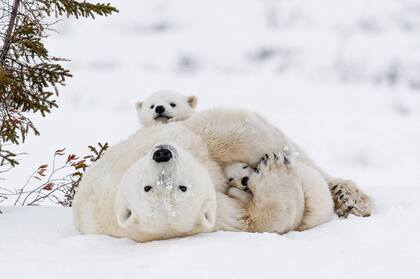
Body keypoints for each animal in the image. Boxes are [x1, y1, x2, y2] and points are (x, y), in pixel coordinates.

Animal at [72, 107, 370, 243]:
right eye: (149, 188)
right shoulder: (215, 217)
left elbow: (224, 132)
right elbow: (257, 219)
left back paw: (350, 197)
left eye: (180, 186)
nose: (163, 154)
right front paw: (272, 172)